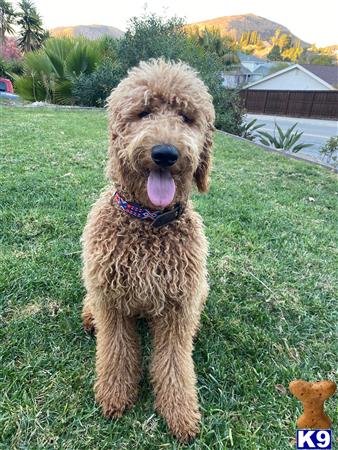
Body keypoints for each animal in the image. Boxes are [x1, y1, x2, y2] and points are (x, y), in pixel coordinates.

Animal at [80, 58, 215, 442]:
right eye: (143, 113)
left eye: (186, 117)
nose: (165, 154)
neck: (149, 223)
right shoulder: (111, 302)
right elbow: (116, 351)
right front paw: (114, 394)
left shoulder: (177, 308)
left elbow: (174, 364)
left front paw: (180, 412)